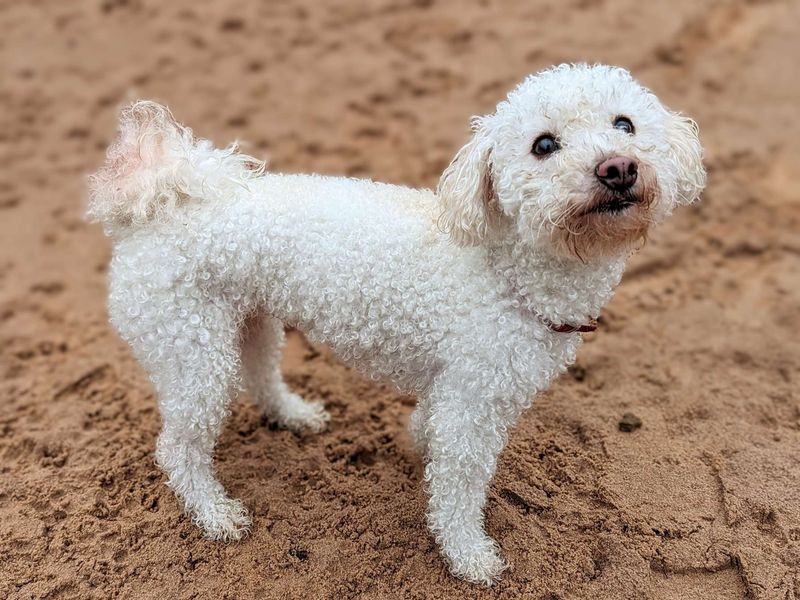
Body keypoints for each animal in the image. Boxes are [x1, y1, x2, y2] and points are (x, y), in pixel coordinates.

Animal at [86, 64, 700, 580]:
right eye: (543, 145)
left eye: (625, 124)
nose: (617, 168)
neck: (509, 269)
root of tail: (156, 207)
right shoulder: (473, 403)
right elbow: (456, 489)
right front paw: (470, 557)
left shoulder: (454, 388)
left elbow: (429, 432)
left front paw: (416, 442)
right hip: (189, 348)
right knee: (178, 448)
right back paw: (214, 514)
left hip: (250, 320)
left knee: (260, 375)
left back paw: (294, 415)